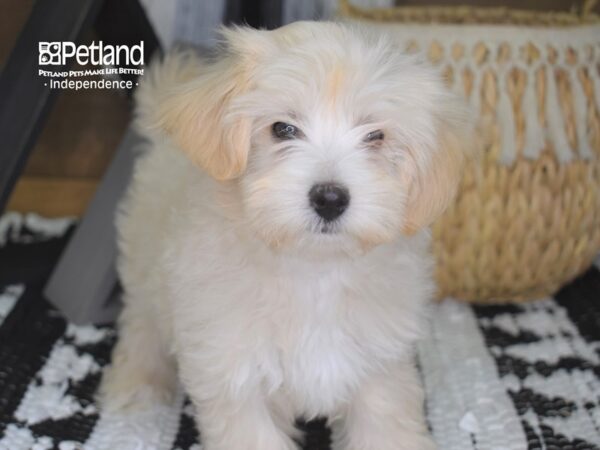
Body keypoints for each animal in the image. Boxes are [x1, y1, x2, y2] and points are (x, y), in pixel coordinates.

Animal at [102, 20, 474, 450]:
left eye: (375, 136)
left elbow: (384, 425)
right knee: (140, 326)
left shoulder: (379, 365)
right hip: (144, 263)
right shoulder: (234, 372)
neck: (311, 268)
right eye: (283, 129)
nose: (330, 198)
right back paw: (137, 385)